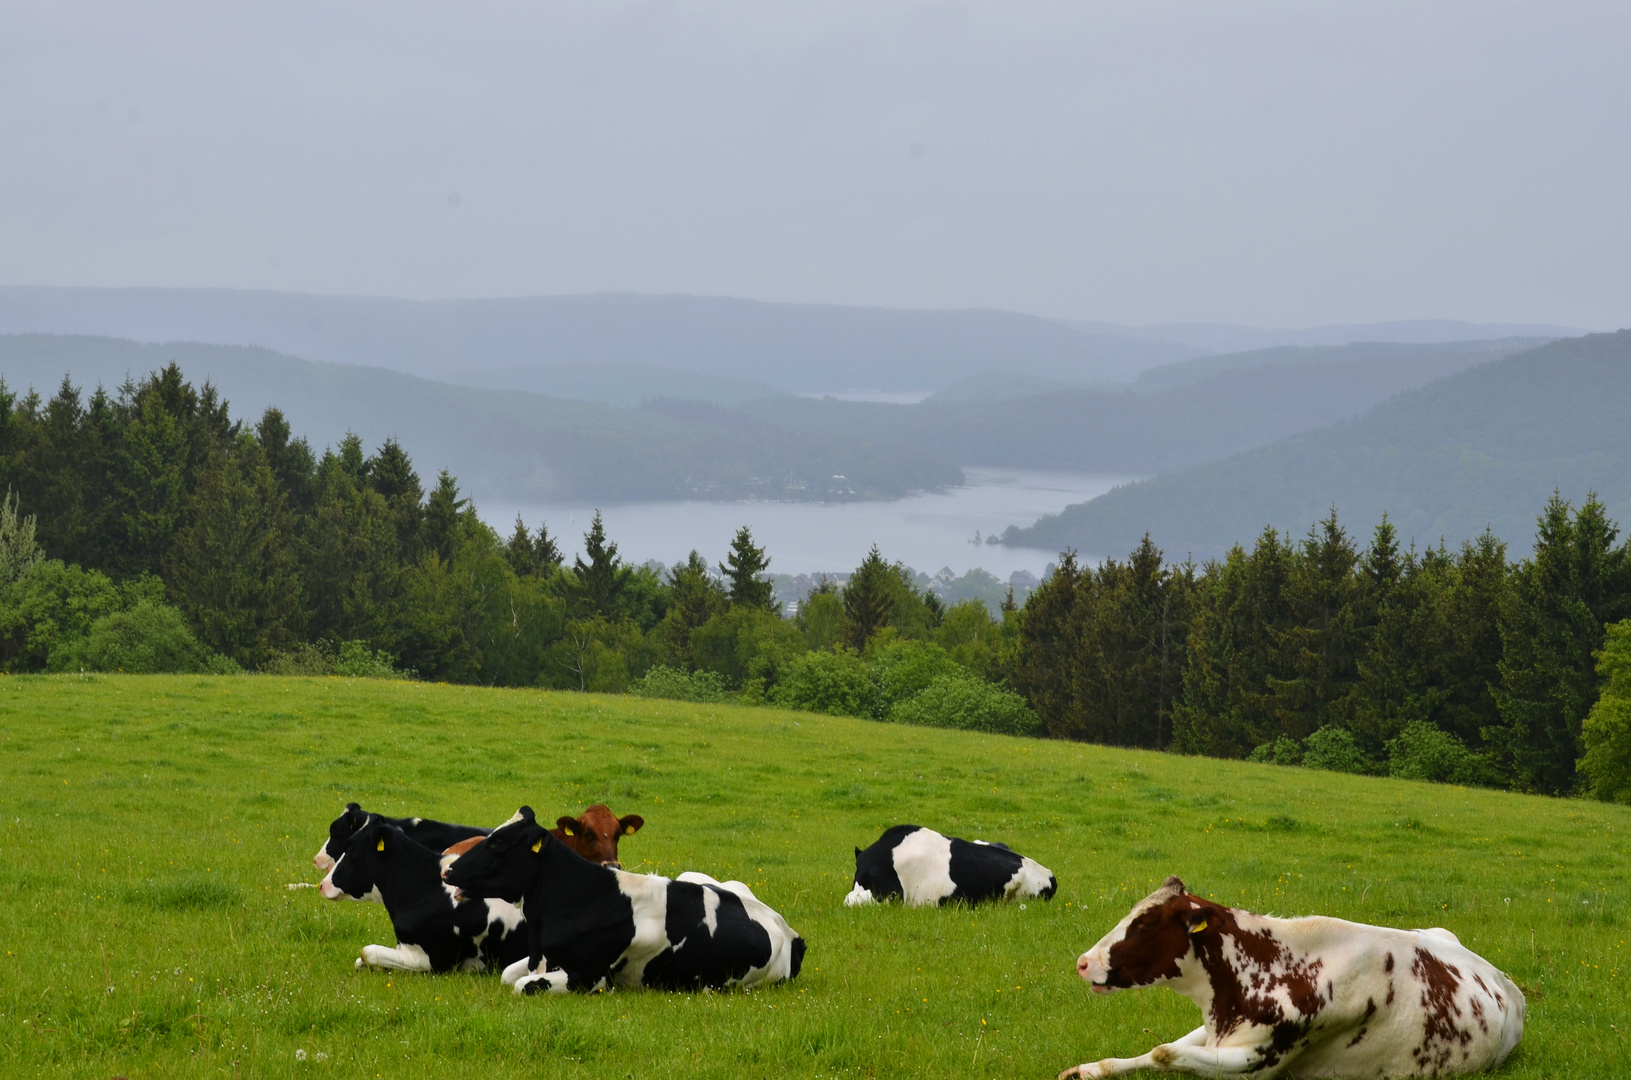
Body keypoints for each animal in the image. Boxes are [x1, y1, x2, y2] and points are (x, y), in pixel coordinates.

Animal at [314, 825, 525, 978]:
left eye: (350, 850)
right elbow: (361, 960)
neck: (426, 890)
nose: (323, 885)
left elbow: (367, 951)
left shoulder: (432, 960)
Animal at [443, 809, 805, 1004]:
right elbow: (508, 974)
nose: (448, 870)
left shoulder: (590, 977)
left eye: (499, 843)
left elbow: (521, 985)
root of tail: (786, 927)